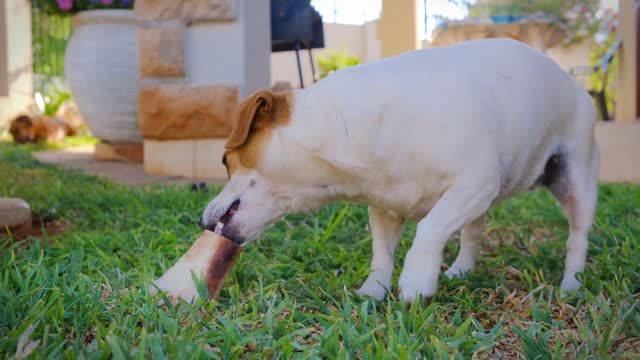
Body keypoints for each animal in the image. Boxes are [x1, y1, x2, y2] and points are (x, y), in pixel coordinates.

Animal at [181, 39, 600, 302]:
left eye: (224, 161)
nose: (201, 221)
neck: (348, 128)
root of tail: (574, 83)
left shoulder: (473, 185)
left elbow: (430, 228)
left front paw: (416, 279)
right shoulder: (385, 208)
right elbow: (382, 253)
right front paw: (374, 290)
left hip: (574, 178)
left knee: (577, 238)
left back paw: (571, 285)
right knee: (473, 232)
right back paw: (461, 269)